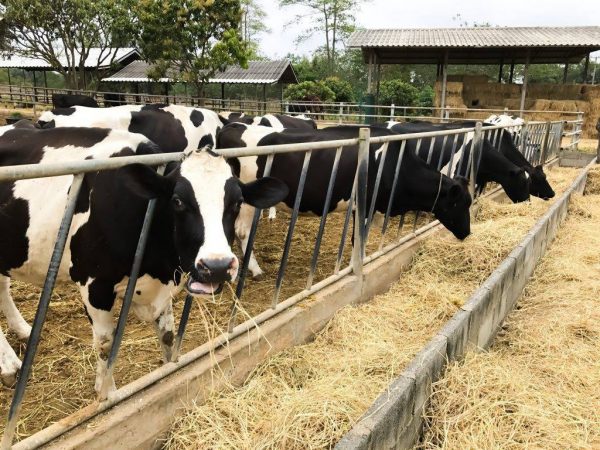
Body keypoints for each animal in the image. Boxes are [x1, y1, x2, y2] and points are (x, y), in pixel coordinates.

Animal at [0, 125, 288, 394]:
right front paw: (106, 393)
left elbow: (168, 335)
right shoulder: (94, 283)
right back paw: (9, 364)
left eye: (237, 202)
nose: (216, 267)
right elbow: (105, 345)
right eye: (177, 201)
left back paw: (24, 331)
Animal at [219, 123, 474, 278]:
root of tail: (233, 126)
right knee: (243, 231)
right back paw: (255, 269)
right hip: (248, 198)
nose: (467, 233)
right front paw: (355, 267)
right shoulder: (364, 205)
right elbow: (357, 239)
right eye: (459, 204)